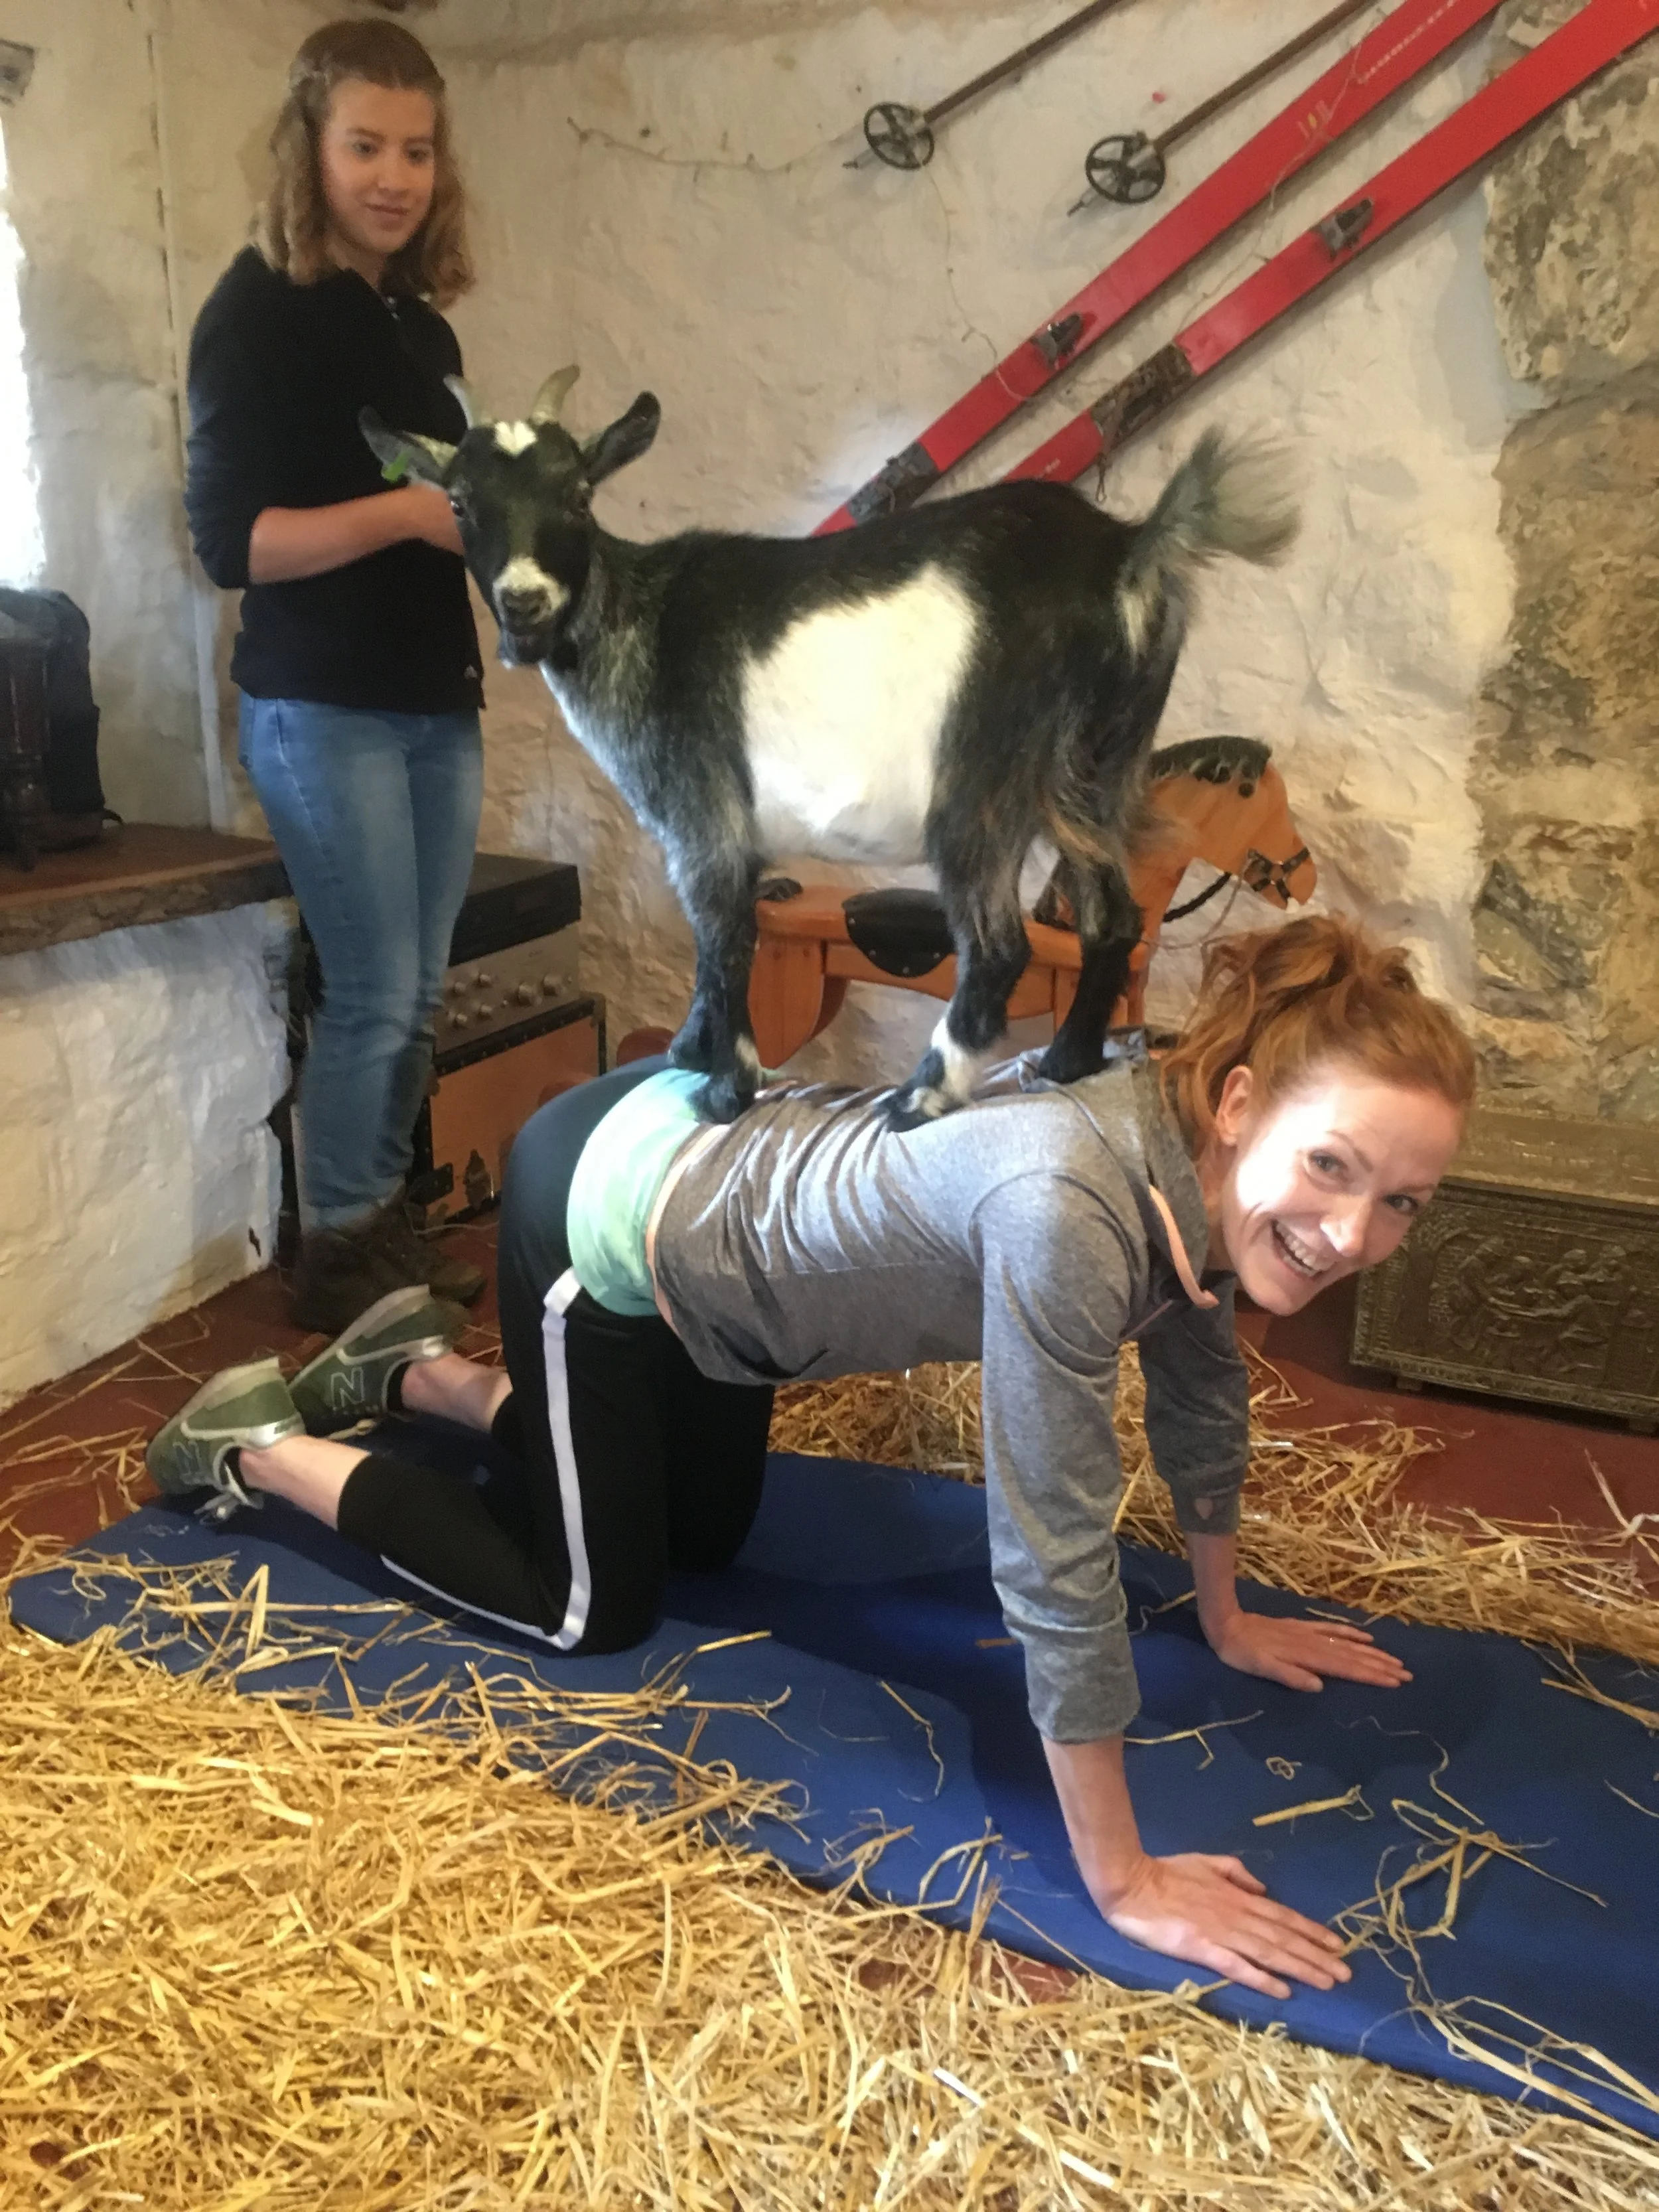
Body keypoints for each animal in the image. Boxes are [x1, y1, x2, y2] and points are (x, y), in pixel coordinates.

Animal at [361, 372, 1298, 1125]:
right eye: (458, 503)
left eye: (580, 496)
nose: (525, 605)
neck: (640, 620)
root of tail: (1128, 553)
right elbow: (714, 938)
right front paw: (691, 1050)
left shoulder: (702, 813)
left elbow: (721, 935)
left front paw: (723, 1087)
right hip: (1097, 767)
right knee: (1114, 918)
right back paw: (1066, 1063)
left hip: (981, 780)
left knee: (997, 945)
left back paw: (922, 1095)